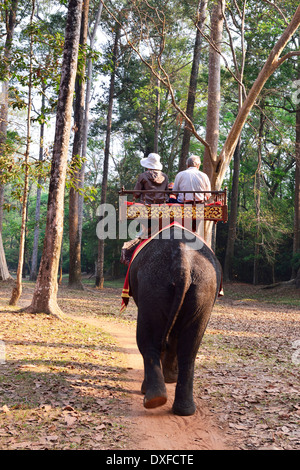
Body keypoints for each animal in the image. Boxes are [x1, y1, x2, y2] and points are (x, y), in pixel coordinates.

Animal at [129, 222, 223, 416]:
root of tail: (182, 262)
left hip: (152, 285)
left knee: (149, 340)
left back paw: (154, 397)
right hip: (204, 288)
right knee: (189, 347)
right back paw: (182, 409)